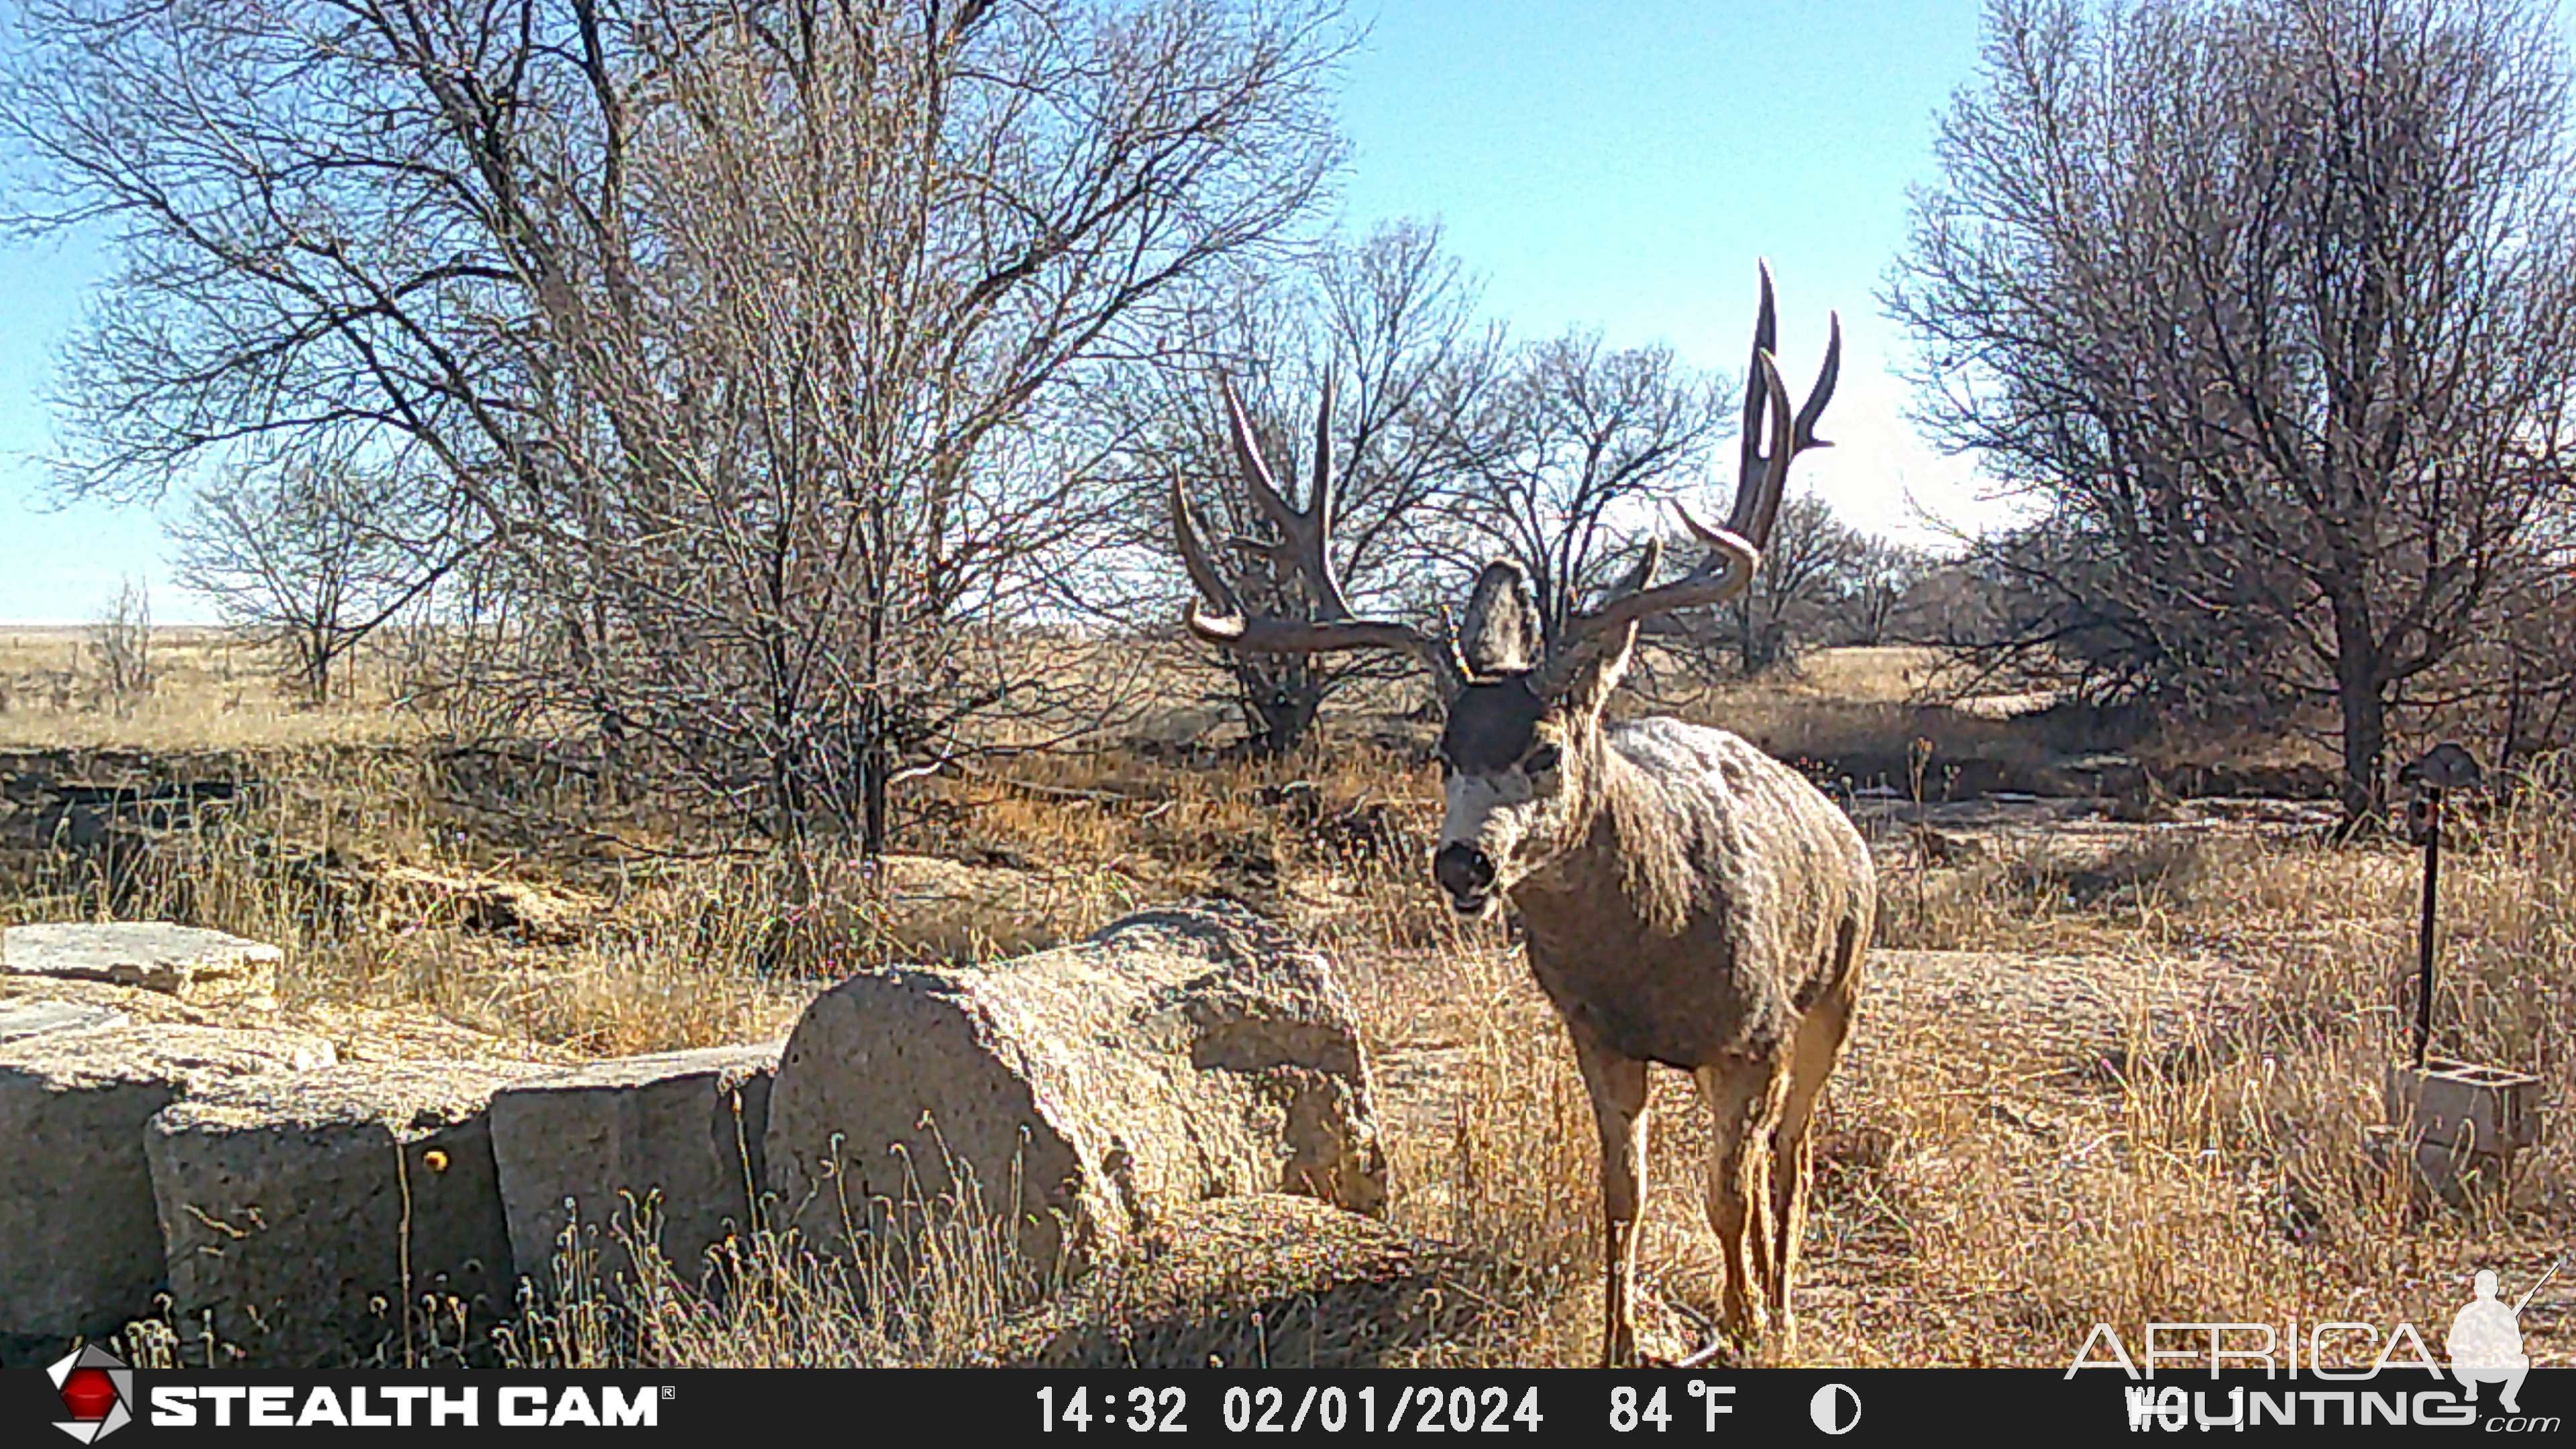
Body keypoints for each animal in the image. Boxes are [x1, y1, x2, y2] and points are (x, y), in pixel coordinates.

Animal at [1169, 265, 1875, 1361]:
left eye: (1544, 751)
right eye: (1442, 753)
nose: (1463, 865)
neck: (1656, 953)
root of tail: (1840, 826)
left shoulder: (1753, 1035)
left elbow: (1726, 1192)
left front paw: (1744, 1325)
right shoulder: (1595, 1035)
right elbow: (1624, 1193)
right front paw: (1621, 1344)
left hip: (1835, 990)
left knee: (1788, 1158)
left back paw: (1779, 1302)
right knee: (1764, 1163)